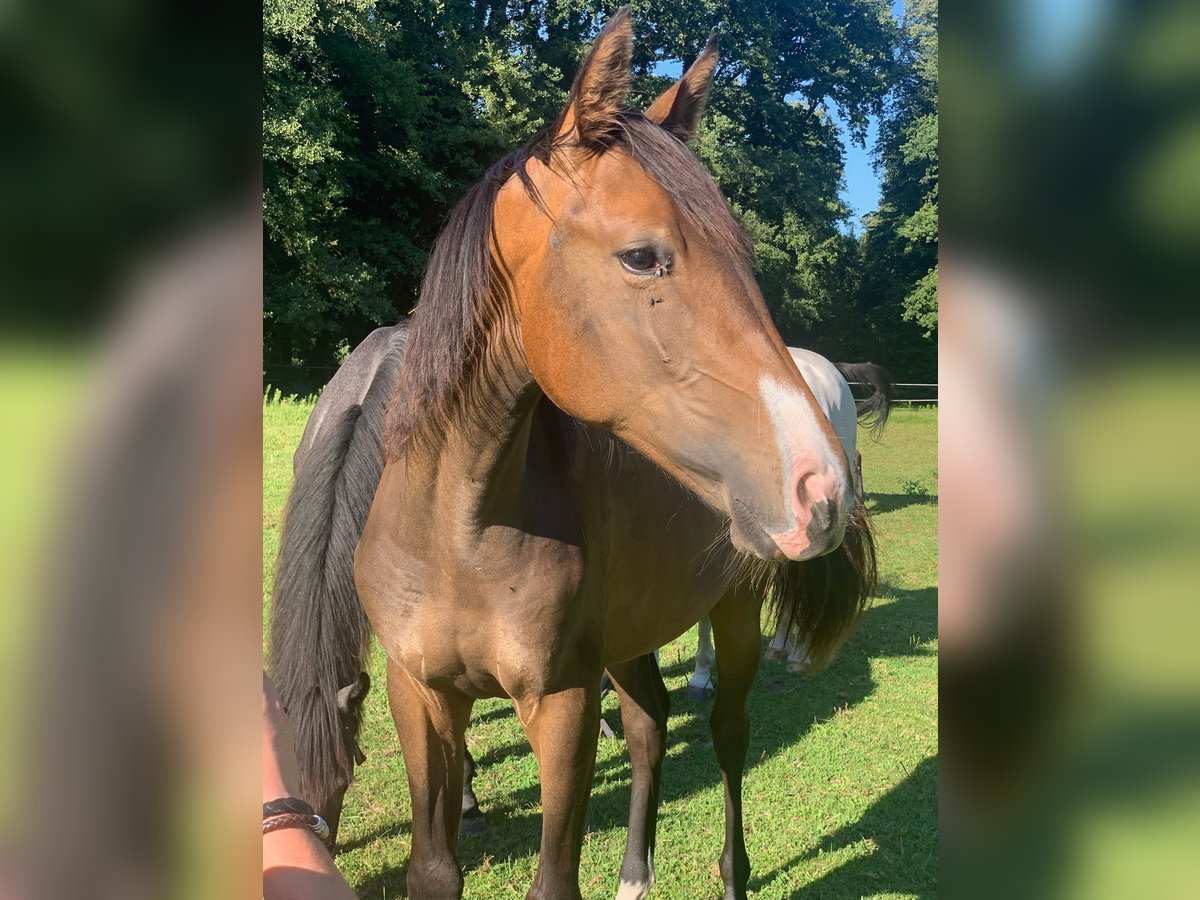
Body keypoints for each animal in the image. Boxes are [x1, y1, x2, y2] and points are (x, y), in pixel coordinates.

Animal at [270, 8, 873, 900]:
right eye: (642, 255)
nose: (819, 486)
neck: (459, 530)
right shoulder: (422, 698)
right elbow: (434, 865)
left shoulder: (561, 703)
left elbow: (555, 876)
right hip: (628, 638)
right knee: (652, 723)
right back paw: (635, 872)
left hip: (729, 615)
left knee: (727, 734)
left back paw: (731, 871)